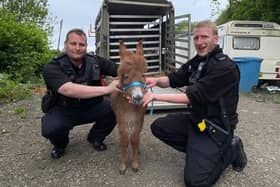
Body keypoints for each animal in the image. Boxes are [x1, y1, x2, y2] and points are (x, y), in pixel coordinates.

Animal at [110, 40, 148, 175]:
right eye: (125, 76)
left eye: (143, 75)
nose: (138, 98)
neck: (130, 107)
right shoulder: (122, 119)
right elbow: (124, 140)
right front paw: (123, 164)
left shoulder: (138, 119)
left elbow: (135, 139)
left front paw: (135, 163)